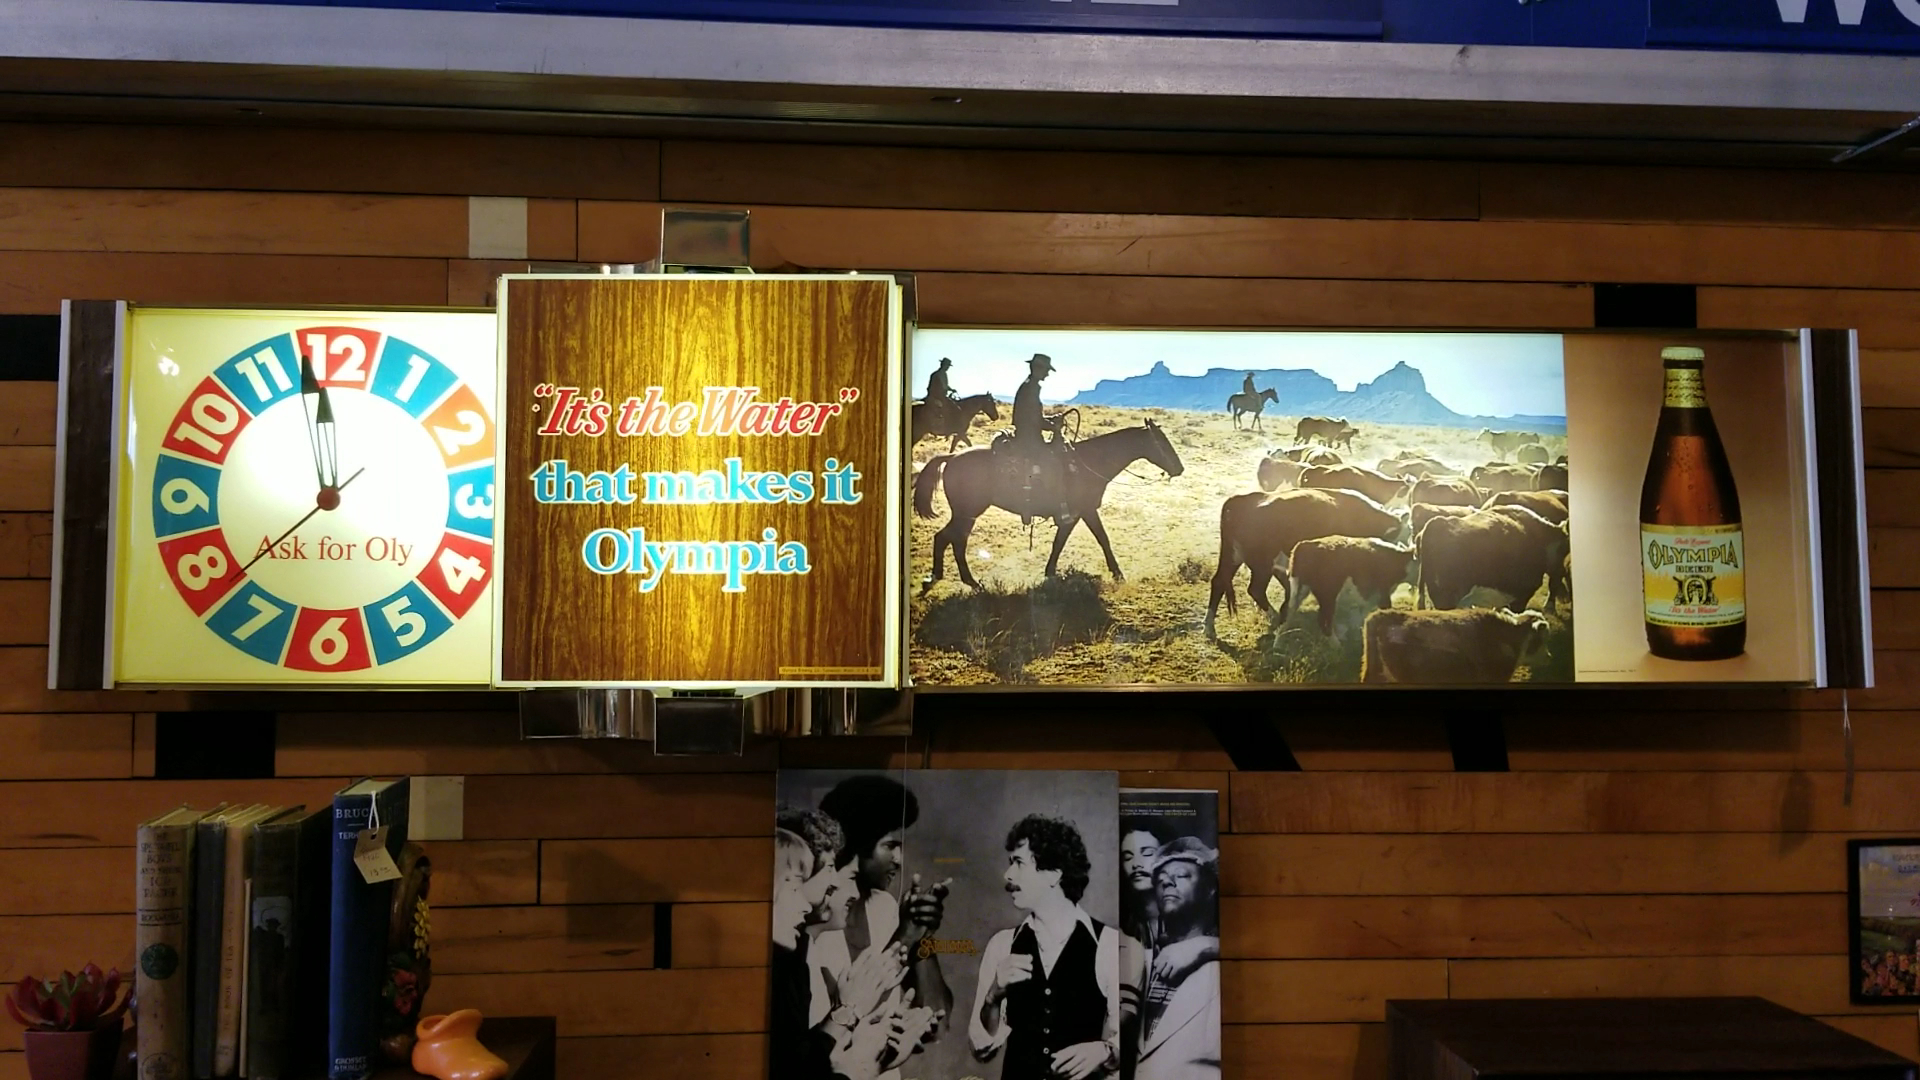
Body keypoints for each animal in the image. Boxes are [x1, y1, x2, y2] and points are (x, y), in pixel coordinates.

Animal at [913, 421, 1185, 592]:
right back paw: (964, 581)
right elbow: (1100, 539)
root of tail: (951, 457)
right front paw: (1118, 574)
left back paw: (944, 579)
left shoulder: (1076, 514)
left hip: (965, 514)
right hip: (968, 513)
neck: (1089, 462)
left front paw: (1050, 571)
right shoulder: (1085, 511)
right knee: (953, 540)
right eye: (1162, 442)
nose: (1180, 468)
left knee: (948, 539)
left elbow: (1061, 542)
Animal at [1287, 536, 1415, 634]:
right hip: (1328, 594)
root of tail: (1304, 546)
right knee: (1324, 620)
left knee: (1288, 611)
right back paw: (1337, 647)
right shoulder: (1381, 592)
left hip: (1300, 589)